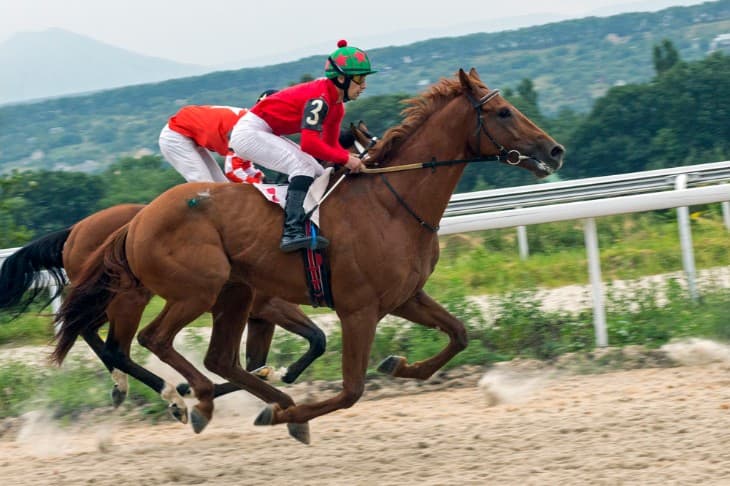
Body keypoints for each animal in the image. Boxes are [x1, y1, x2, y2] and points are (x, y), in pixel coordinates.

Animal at [54, 68, 565, 443]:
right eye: (502, 111)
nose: (555, 150)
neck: (391, 201)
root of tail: (136, 221)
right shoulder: (358, 309)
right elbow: (352, 390)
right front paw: (292, 414)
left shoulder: (404, 296)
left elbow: (458, 334)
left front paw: (398, 366)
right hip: (194, 290)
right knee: (151, 340)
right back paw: (196, 398)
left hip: (235, 293)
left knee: (219, 358)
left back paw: (263, 400)